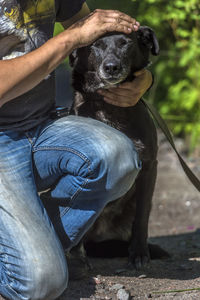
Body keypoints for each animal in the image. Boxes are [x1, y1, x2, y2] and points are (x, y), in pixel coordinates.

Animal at [69, 26, 167, 270]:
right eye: (96, 45)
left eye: (125, 43)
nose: (111, 67)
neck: (110, 108)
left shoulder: (149, 166)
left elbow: (142, 216)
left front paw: (139, 253)